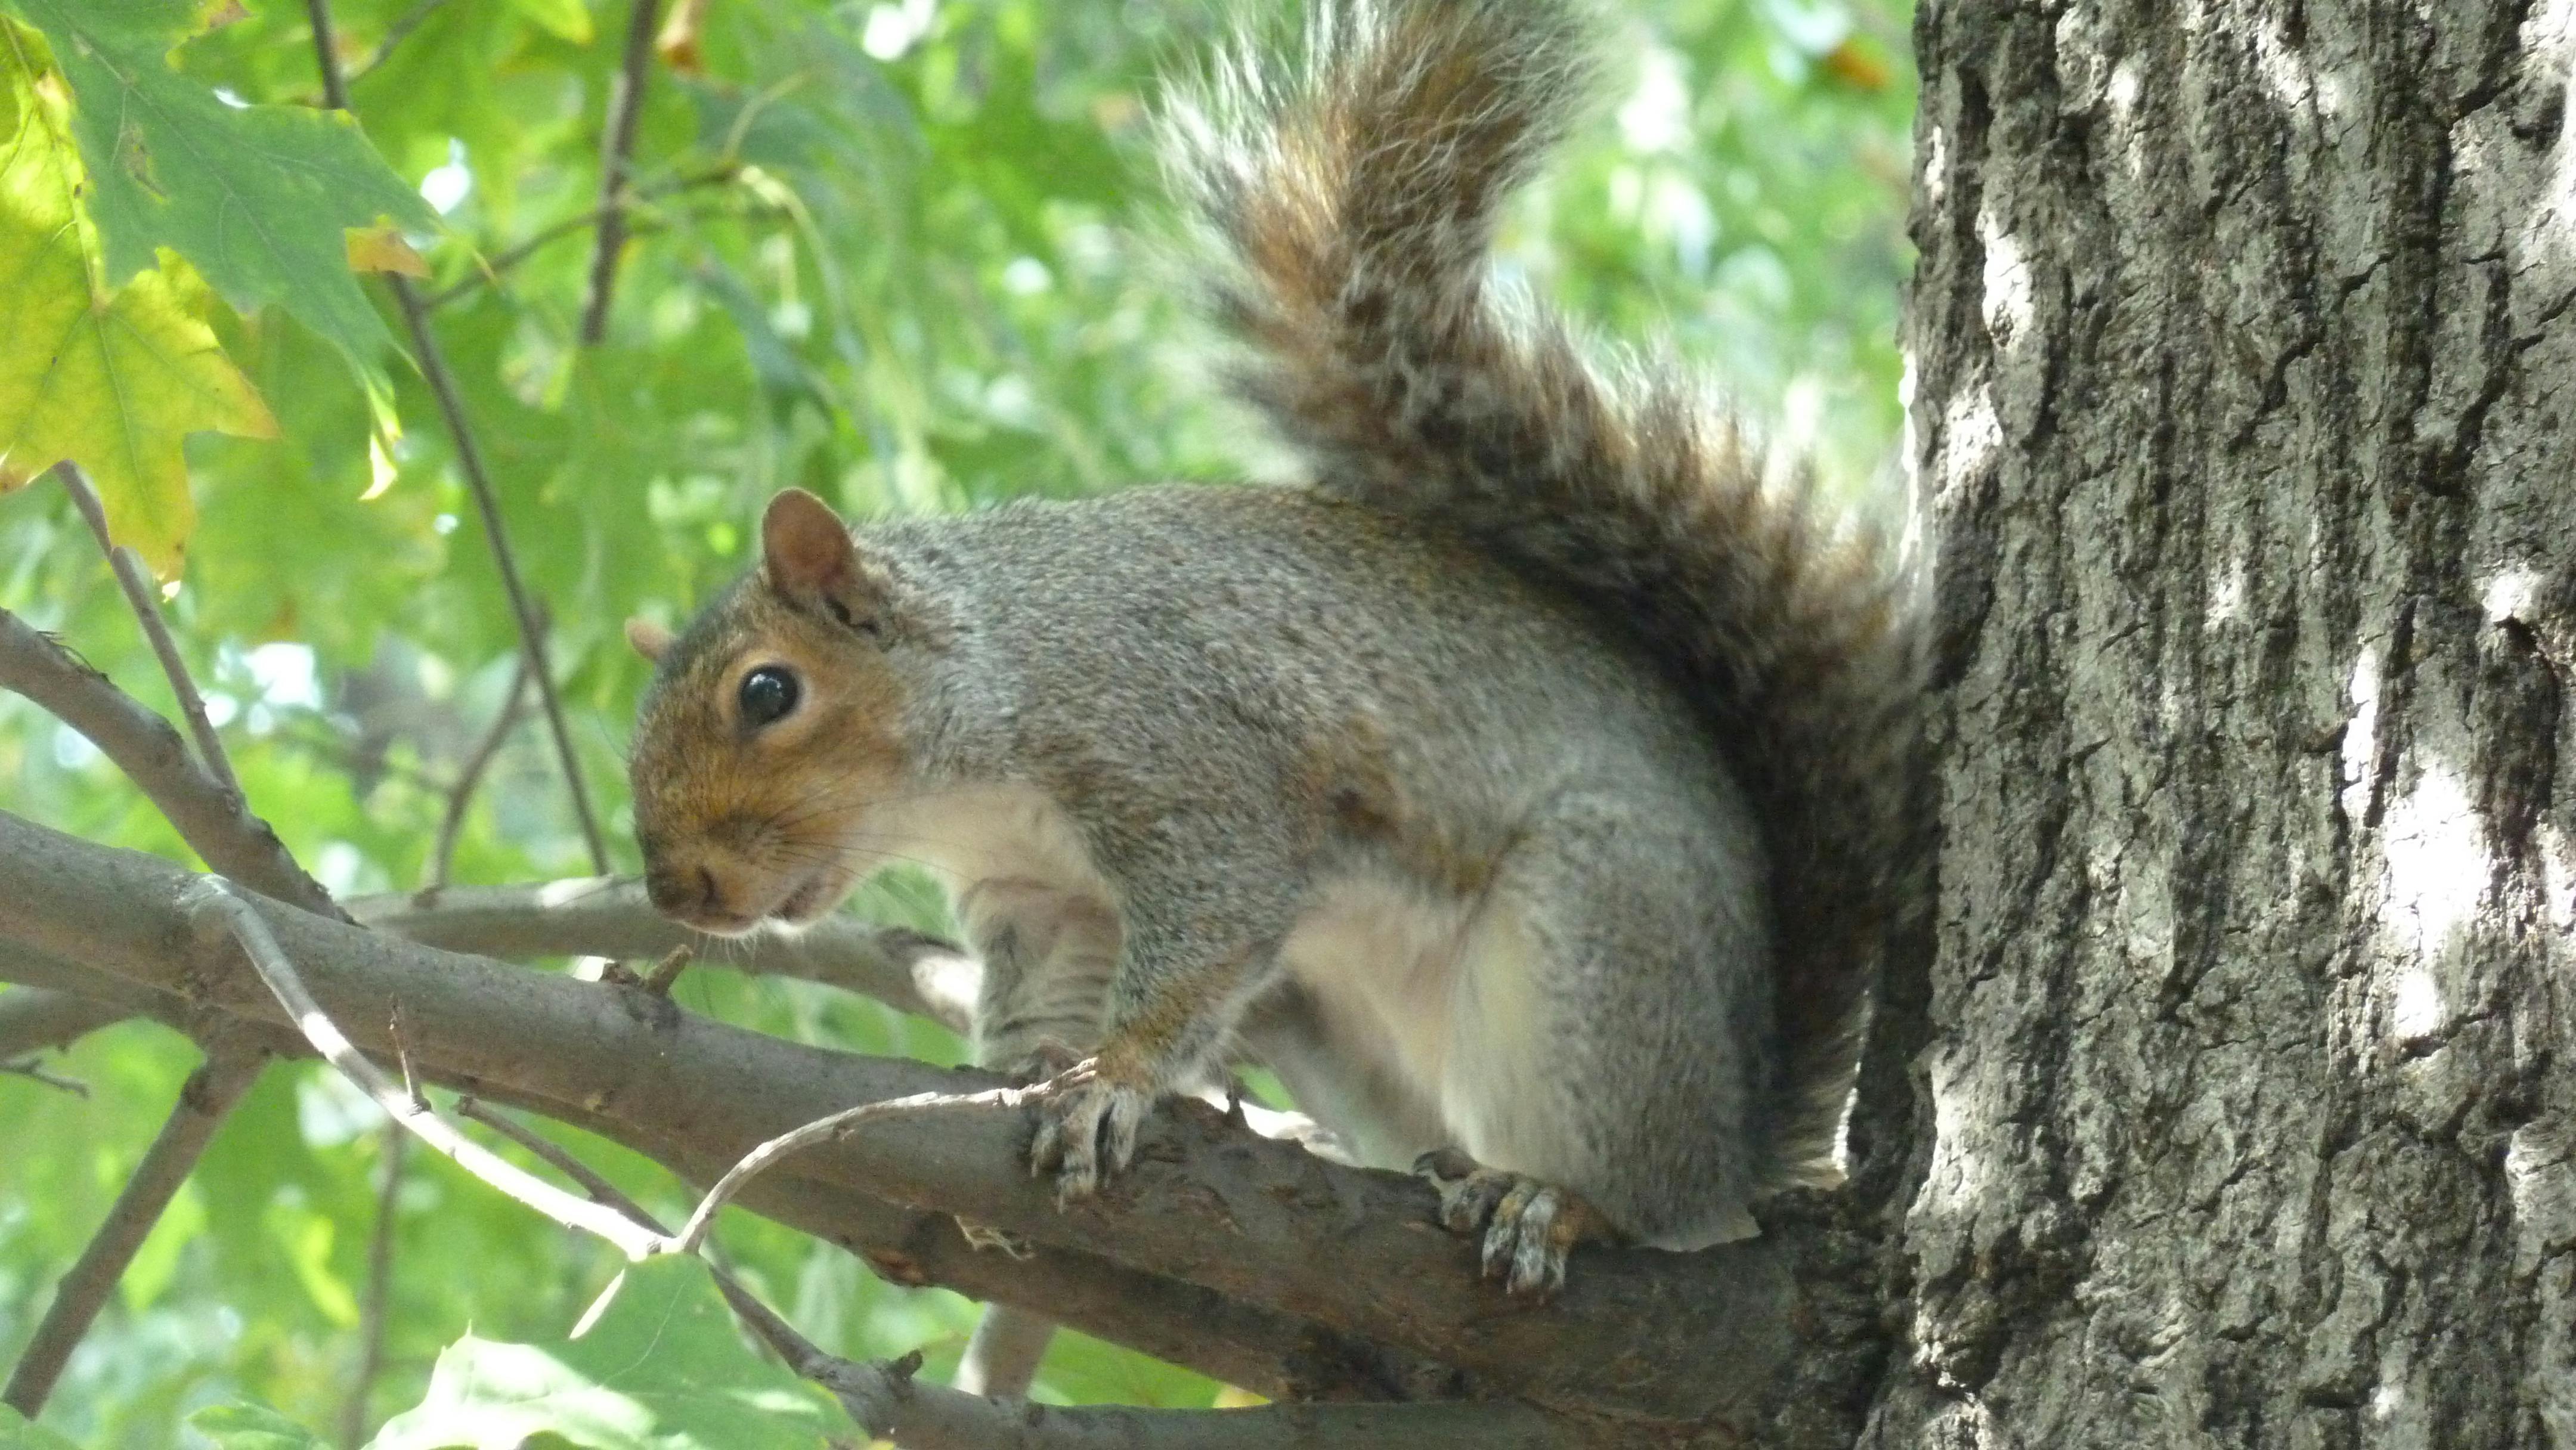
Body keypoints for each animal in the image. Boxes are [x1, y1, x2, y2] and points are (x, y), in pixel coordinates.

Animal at [623, 0, 1927, 1303]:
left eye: (768, 691)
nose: (674, 891)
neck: (991, 705)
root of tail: (1743, 1140)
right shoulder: (1041, 895)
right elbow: (1054, 987)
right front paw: (1020, 1092)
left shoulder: (1191, 766)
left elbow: (1210, 931)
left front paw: (1113, 1081)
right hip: (1351, 1030)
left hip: (1601, 936)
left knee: (1644, 1190)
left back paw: (1559, 1202)